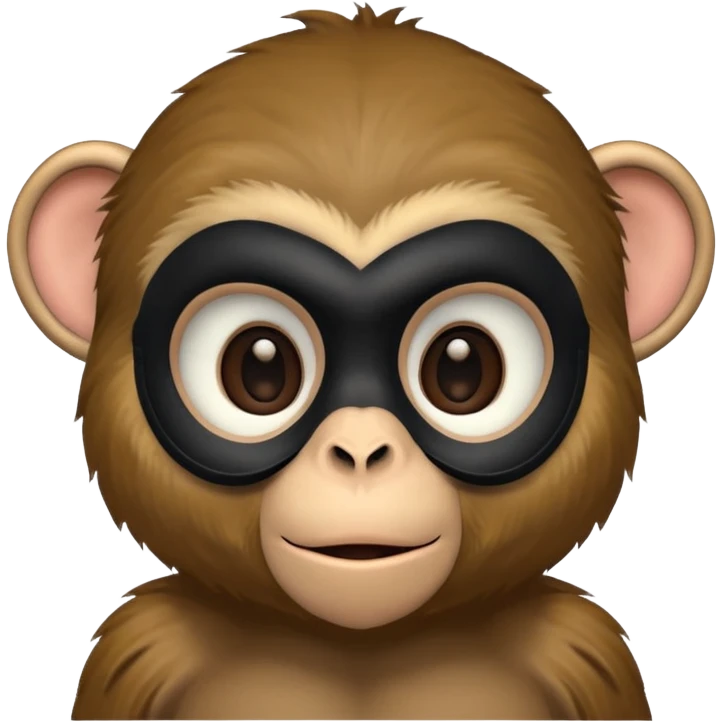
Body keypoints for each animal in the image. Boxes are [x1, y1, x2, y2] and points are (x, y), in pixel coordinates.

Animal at [7, 5, 716, 721]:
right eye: (261, 370)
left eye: (461, 370)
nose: (360, 452)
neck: (361, 647)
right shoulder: (138, 653)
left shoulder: (587, 654)